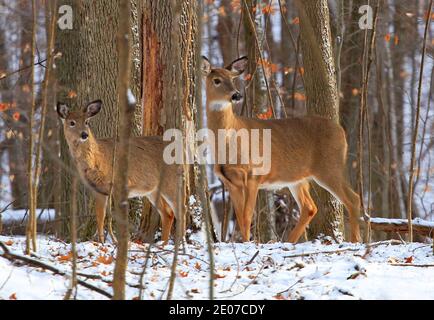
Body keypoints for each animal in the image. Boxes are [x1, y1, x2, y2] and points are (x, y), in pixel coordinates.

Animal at [56, 101, 179, 244]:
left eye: (86, 121)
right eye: (72, 122)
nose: (84, 134)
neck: (98, 160)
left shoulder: (119, 184)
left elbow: (119, 218)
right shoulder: (99, 190)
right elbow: (100, 216)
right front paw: (102, 242)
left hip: (170, 181)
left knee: (180, 209)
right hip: (152, 190)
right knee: (168, 213)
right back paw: (163, 244)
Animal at [202, 57, 362, 242]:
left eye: (232, 79)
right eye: (217, 80)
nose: (236, 95)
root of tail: (341, 131)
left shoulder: (253, 174)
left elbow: (247, 216)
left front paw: (249, 243)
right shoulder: (230, 182)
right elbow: (241, 218)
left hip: (330, 167)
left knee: (353, 199)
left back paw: (355, 241)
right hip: (298, 178)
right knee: (310, 207)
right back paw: (290, 242)